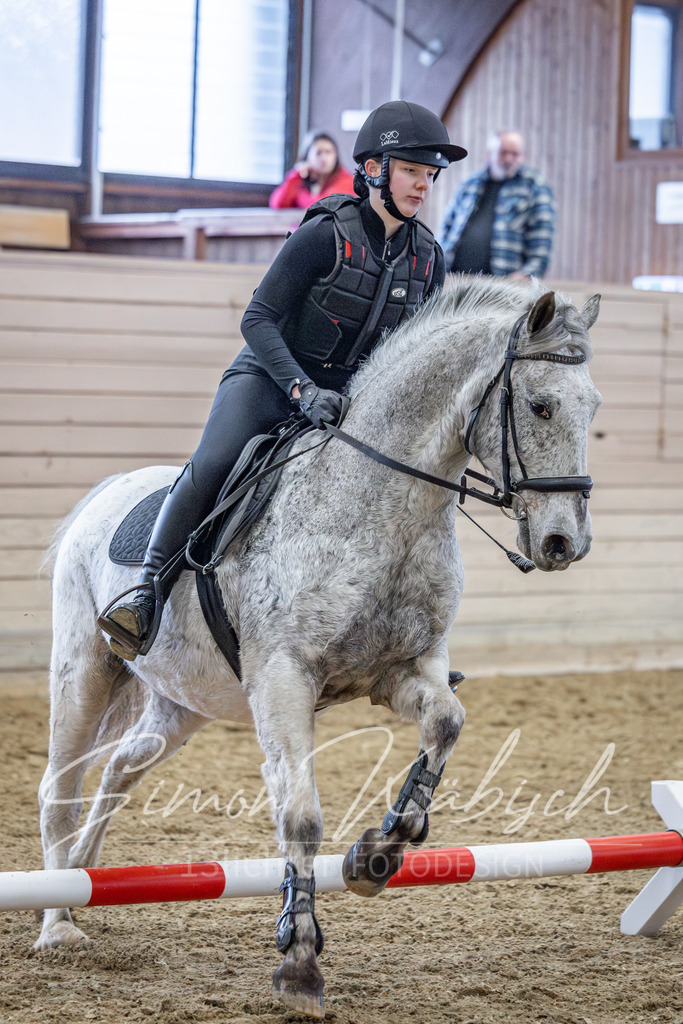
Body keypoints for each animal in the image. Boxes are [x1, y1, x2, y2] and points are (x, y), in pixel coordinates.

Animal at [34, 277, 601, 1018]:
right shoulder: (283, 680)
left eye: (592, 409)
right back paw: (56, 923)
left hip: (183, 702)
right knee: (60, 787)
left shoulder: (404, 671)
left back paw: (80, 879)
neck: (384, 507)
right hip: (86, 672)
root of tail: (106, 493)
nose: (565, 543)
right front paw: (299, 961)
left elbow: (446, 724)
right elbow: (300, 817)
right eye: (539, 405)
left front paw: (378, 855)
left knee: (120, 771)